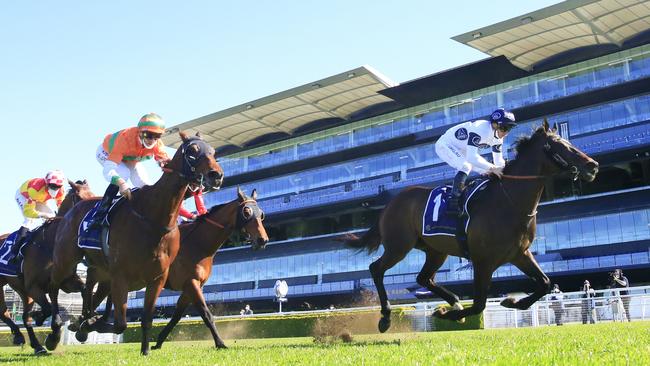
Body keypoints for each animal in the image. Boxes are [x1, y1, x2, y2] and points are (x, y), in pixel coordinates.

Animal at [0, 180, 95, 354]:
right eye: (82, 198)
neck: (51, 244)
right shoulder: (34, 287)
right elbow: (50, 309)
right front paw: (52, 337)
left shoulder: (66, 282)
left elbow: (84, 289)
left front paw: (83, 328)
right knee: (6, 313)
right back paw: (19, 336)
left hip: (21, 290)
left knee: (24, 317)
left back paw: (37, 346)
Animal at [45, 132, 223, 354]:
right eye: (192, 151)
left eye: (213, 151)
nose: (216, 175)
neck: (153, 217)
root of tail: (69, 214)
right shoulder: (120, 276)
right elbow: (120, 324)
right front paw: (88, 324)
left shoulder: (158, 278)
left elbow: (146, 319)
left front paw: (145, 350)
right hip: (65, 260)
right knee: (53, 287)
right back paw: (54, 334)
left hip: (99, 270)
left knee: (85, 289)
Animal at [152, 187, 268, 350]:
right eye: (246, 212)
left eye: (261, 213)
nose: (263, 240)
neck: (198, 244)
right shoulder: (192, 283)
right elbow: (207, 314)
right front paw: (220, 343)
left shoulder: (192, 286)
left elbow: (177, 316)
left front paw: (158, 342)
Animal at [344, 121, 596, 334]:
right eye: (560, 146)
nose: (592, 166)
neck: (508, 202)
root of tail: (390, 204)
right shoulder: (482, 260)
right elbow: (478, 305)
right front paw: (445, 314)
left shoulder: (520, 254)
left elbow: (545, 283)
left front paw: (512, 300)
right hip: (399, 245)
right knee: (376, 269)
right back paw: (386, 317)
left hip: (435, 250)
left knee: (423, 279)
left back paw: (454, 301)